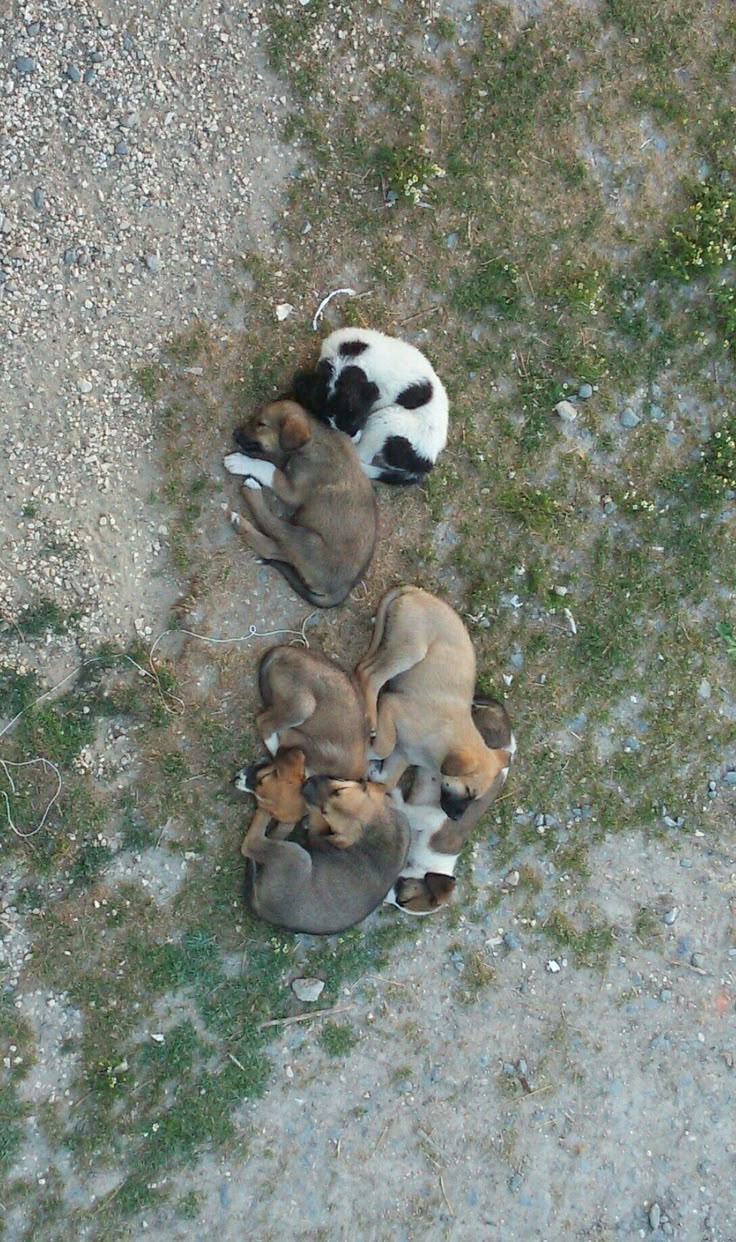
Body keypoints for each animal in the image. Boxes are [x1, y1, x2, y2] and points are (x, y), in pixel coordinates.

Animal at [222, 399, 372, 608]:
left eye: (261, 424)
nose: (235, 434)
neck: (316, 438)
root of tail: (343, 589)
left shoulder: (292, 490)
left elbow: (270, 468)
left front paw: (241, 462)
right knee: (274, 549)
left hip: (307, 540)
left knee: (272, 530)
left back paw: (247, 501)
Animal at [242, 765, 409, 933]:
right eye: (339, 789)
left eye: (324, 812)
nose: (305, 784)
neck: (376, 826)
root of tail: (261, 909)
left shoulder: (316, 834)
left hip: (297, 856)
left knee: (251, 843)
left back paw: (264, 806)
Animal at [292, 325, 446, 484]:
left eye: (356, 420)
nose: (351, 437)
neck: (346, 362)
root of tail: (426, 461)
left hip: (387, 421)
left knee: (362, 455)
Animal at [354, 586, 506, 819]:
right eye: (469, 792)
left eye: (475, 798)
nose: (456, 818)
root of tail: (416, 591)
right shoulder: (392, 705)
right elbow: (384, 748)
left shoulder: (403, 753)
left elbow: (388, 780)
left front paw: (374, 771)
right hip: (411, 649)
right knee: (370, 674)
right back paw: (370, 715)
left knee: (364, 668)